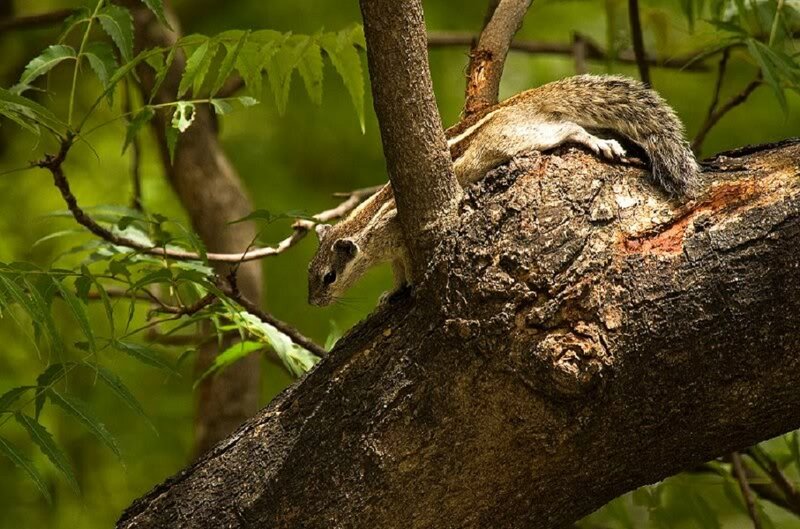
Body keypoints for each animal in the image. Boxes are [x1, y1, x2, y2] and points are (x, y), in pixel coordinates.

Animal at [308, 74, 700, 307]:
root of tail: (521, 103)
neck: (363, 231)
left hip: (510, 142)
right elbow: (398, 273)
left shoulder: (397, 236)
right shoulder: (394, 253)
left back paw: (599, 143)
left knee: (570, 129)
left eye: (329, 277)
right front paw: (391, 293)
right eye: (309, 273)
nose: (314, 302)